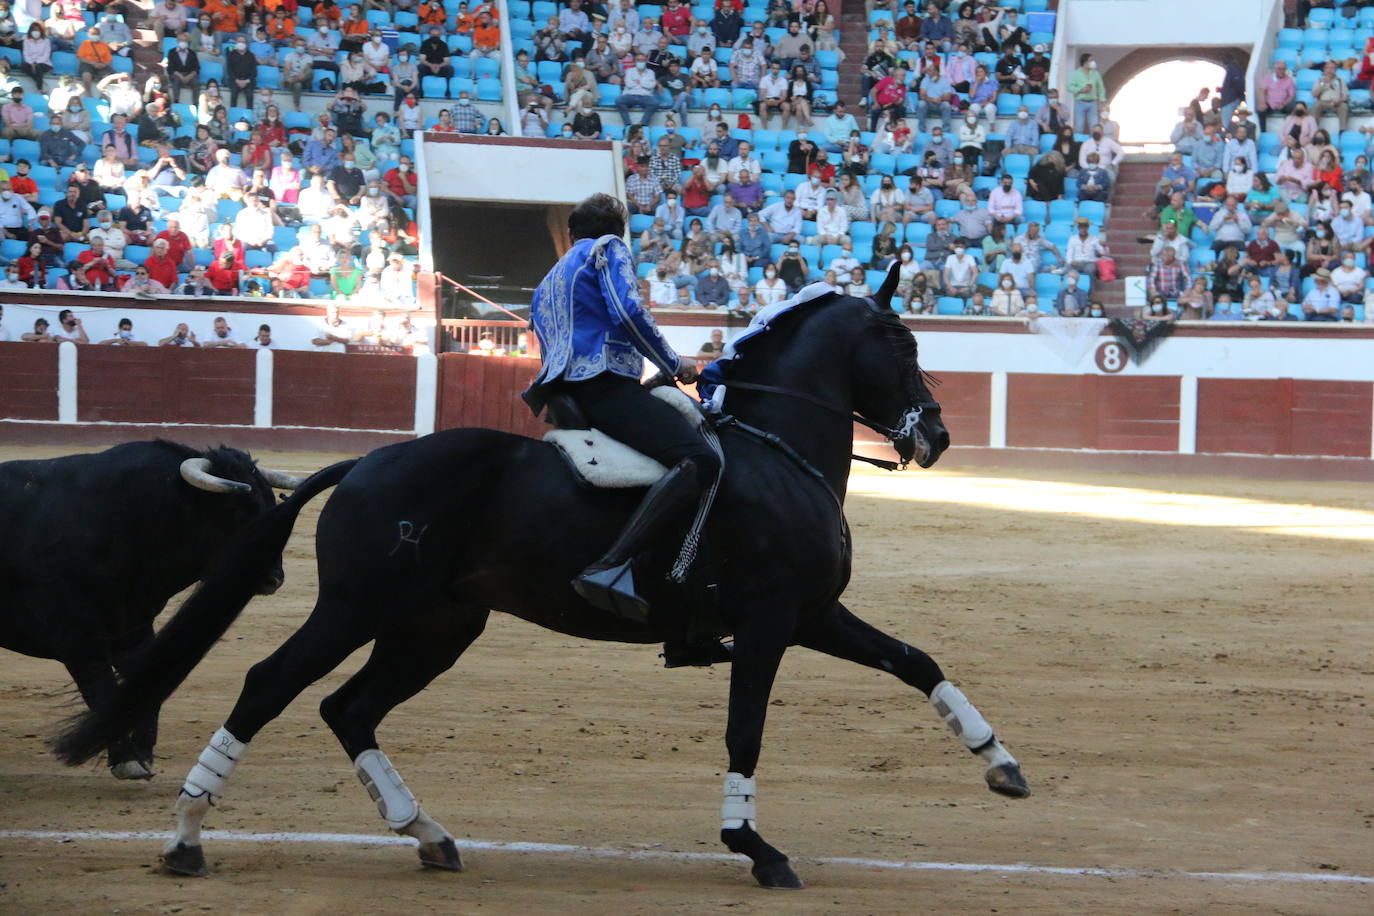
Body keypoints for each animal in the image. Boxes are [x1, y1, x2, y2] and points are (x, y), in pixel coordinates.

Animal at [0, 439, 306, 780]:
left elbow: (144, 683)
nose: (273, 578)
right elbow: (102, 689)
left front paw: (143, 753)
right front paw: (127, 760)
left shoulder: (133, 627)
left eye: (272, 504)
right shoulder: (77, 634)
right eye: (234, 511)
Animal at [56, 269, 1033, 889]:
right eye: (900, 340)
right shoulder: (767, 624)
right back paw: (186, 838)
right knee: (271, 685)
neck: (776, 453)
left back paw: (429, 835)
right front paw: (753, 844)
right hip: (355, 607)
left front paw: (1002, 766)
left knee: (349, 708)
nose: (935, 434)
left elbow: (918, 661)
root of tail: (366, 463)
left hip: (437, 626)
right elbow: (746, 730)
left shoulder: (814, 613)